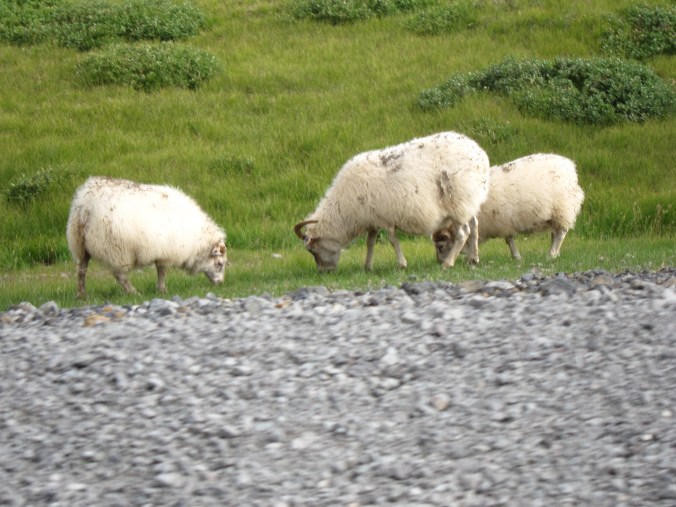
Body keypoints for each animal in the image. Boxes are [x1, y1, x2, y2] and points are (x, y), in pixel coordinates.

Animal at [66, 176, 227, 298]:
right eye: (220, 264)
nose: (221, 283)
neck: (196, 239)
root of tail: (86, 205)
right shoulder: (165, 251)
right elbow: (161, 271)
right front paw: (162, 290)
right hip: (115, 248)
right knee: (119, 274)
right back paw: (133, 292)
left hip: (80, 243)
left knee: (81, 270)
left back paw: (81, 295)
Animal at [294, 131, 490, 272]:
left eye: (312, 250)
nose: (323, 272)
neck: (344, 211)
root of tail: (480, 155)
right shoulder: (372, 218)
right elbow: (370, 242)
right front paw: (367, 266)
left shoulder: (385, 218)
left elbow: (392, 240)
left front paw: (401, 264)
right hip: (470, 201)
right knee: (475, 227)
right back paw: (473, 259)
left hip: (458, 203)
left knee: (463, 233)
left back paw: (447, 264)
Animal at [433, 153, 585, 262]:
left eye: (441, 246)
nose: (439, 262)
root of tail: (570, 168)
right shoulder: (504, 221)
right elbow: (507, 239)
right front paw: (516, 257)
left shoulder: (503, 220)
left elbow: (508, 240)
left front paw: (515, 256)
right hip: (554, 215)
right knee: (555, 233)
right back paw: (555, 253)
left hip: (563, 209)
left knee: (561, 233)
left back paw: (551, 254)